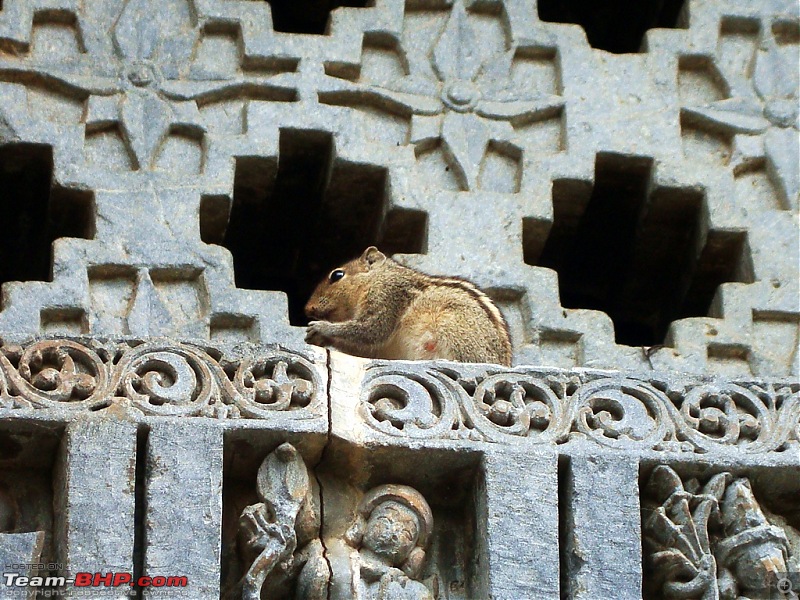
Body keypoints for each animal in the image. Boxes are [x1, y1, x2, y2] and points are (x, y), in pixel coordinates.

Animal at [304, 245, 510, 366]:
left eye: (337, 275)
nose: (307, 309)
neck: (375, 278)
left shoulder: (387, 294)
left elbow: (372, 330)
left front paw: (323, 328)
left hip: (453, 328)